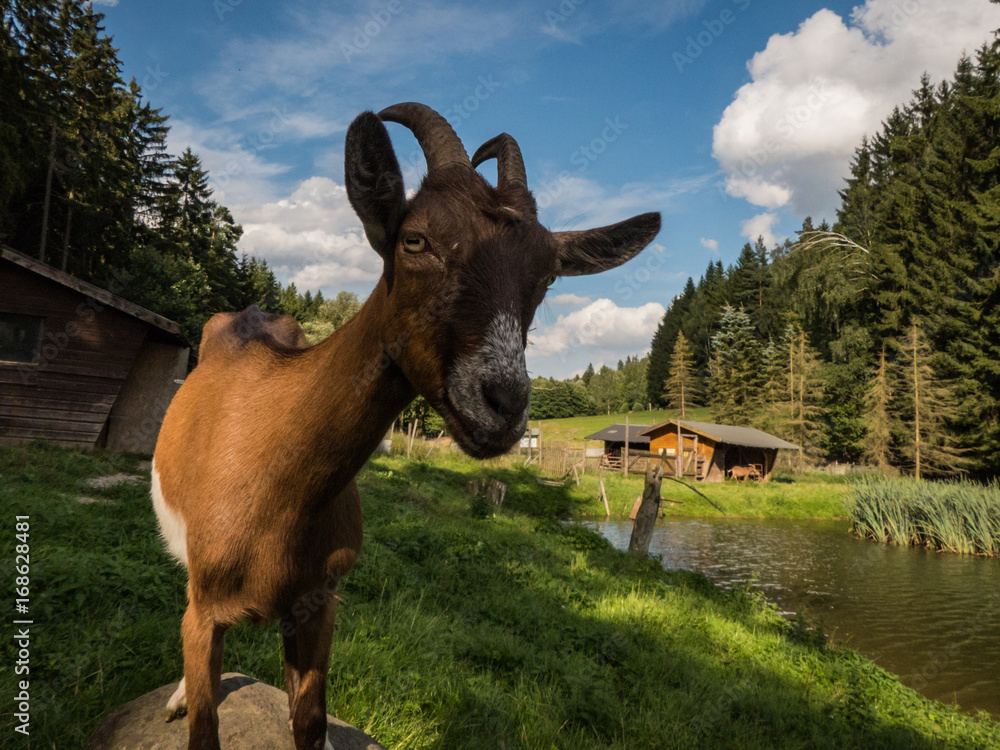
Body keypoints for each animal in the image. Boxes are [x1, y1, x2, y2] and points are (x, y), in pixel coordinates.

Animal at [152, 102, 661, 750]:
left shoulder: (319, 604)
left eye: (547, 276)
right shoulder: (205, 611)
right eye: (415, 240)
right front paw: (187, 700)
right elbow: (204, 721)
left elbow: (309, 721)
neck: (277, 496)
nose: (503, 403)